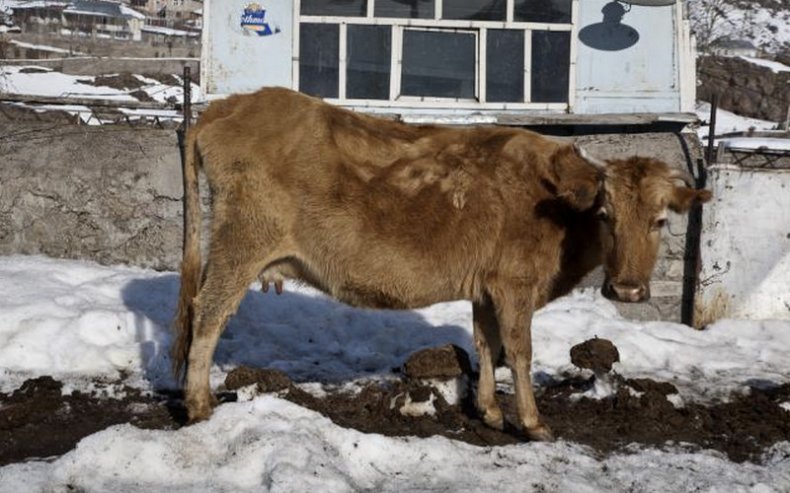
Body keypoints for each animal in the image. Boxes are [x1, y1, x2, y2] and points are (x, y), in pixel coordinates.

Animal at [172, 86, 712, 440]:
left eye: (660, 220)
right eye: (606, 215)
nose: (627, 291)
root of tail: (231, 104)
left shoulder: (487, 288)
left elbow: (486, 345)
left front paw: (490, 412)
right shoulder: (514, 284)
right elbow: (520, 351)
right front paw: (533, 422)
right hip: (242, 242)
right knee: (210, 312)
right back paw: (198, 404)